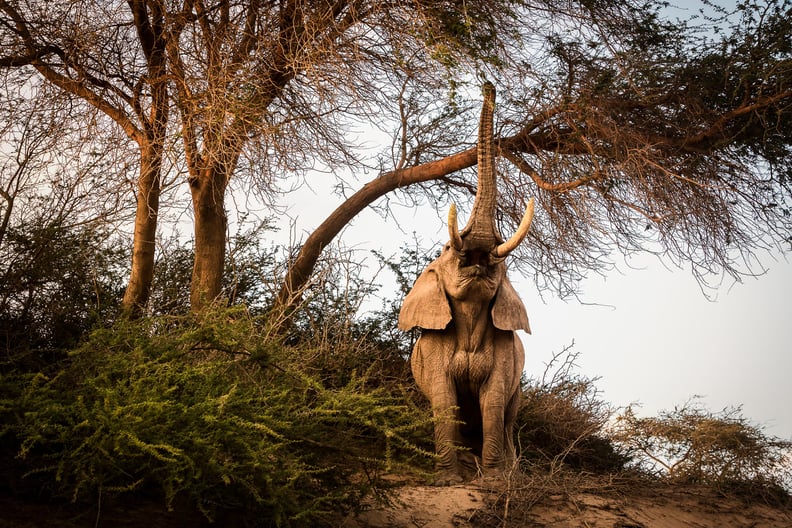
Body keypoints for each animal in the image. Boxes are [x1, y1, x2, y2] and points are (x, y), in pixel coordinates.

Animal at [400, 81, 536, 482]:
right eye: (447, 248)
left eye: (503, 264)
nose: (489, 84)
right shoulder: (433, 350)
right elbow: (445, 400)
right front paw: (449, 480)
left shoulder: (507, 357)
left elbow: (493, 402)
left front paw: (493, 481)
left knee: (508, 417)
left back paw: (510, 472)